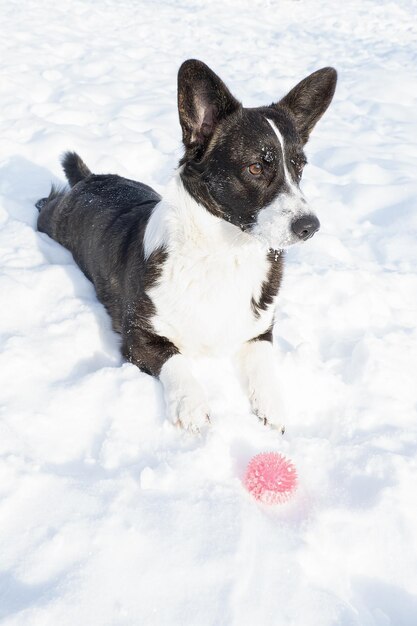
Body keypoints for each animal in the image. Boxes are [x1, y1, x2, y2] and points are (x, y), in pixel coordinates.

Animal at [37, 61, 336, 432]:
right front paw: (192, 407)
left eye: (299, 167)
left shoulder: (260, 331)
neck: (227, 253)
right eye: (255, 167)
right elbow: (176, 360)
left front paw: (273, 407)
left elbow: (264, 366)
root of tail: (89, 179)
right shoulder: (139, 336)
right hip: (51, 220)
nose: (310, 226)